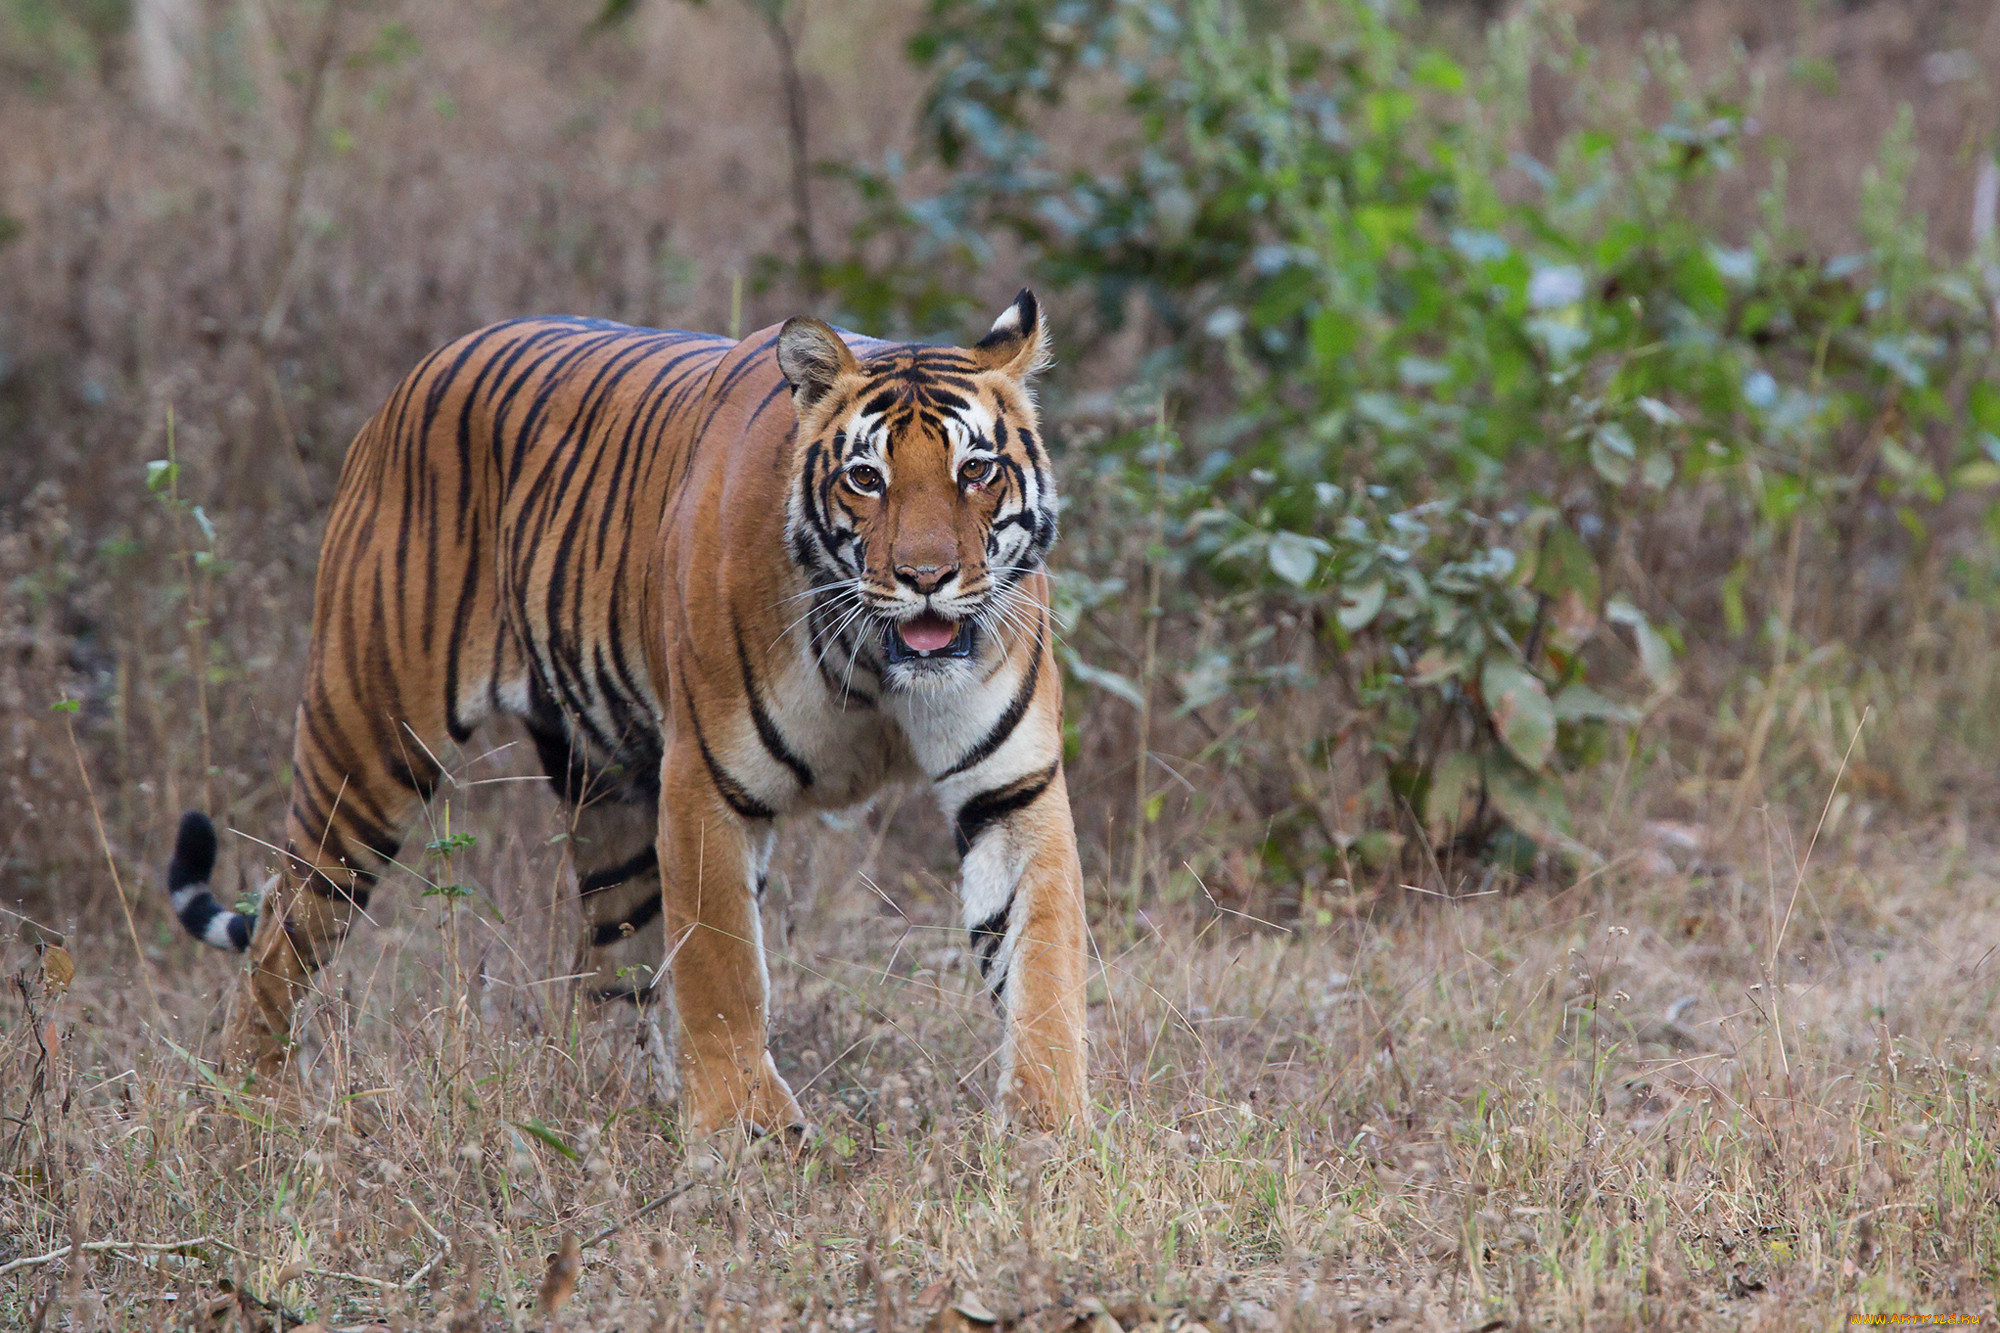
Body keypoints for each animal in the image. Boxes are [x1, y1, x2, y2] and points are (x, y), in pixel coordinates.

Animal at [162, 290, 1088, 1128]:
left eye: (975, 470)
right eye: (867, 477)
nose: (926, 577)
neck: (874, 666)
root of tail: (414, 376)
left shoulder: (1011, 790)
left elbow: (1042, 960)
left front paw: (1048, 1135)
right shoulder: (706, 784)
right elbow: (723, 976)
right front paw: (749, 1141)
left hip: (605, 794)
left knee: (611, 970)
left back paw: (621, 1113)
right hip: (364, 751)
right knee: (283, 928)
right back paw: (253, 1110)